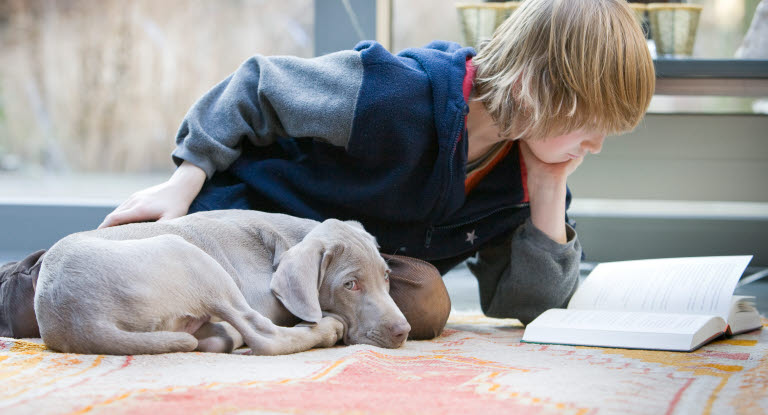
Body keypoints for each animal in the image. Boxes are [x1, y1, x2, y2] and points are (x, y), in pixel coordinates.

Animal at [33, 211, 412, 358]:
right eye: (350, 285)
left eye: (386, 277)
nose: (403, 331)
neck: (286, 240)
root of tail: (79, 320)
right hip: (193, 259)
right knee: (264, 337)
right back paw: (328, 329)